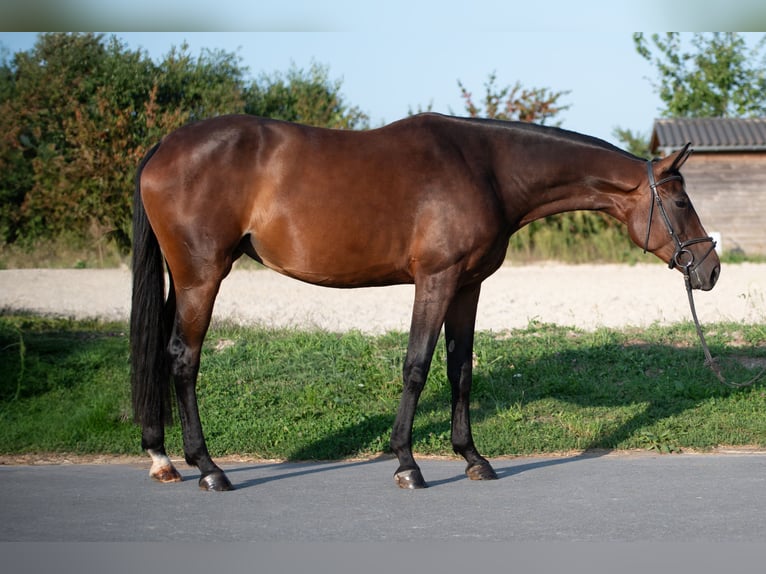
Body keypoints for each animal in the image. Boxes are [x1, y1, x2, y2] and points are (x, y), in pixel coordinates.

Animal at [129, 112, 724, 490]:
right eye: (680, 201)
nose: (711, 269)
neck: (486, 168)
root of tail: (164, 147)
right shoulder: (435, 280)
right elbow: (416, 366)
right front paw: (407, 464)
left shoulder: (467, 285)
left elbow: (460, 370)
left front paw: (473, 458)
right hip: (202, 276)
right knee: (183, 358)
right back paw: (208, 469)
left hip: (183, 279)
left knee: (160, 353)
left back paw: (162, 457)